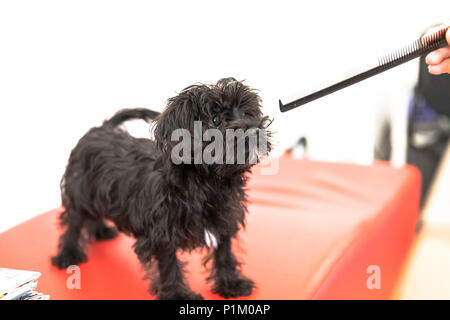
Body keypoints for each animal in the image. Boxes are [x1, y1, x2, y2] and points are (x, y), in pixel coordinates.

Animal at [51, 78, 272, 300]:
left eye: (247, 113)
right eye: (215, 120)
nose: (255, 130)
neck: (210, 183)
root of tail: (101, 128)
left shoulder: (225, 218)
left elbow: (224, 251)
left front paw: (231, 283)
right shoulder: (162, 231)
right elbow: (169, 264)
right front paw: (178, 294)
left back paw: (101, 231)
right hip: (81, 191)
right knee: (73, 221)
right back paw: (68, 254)